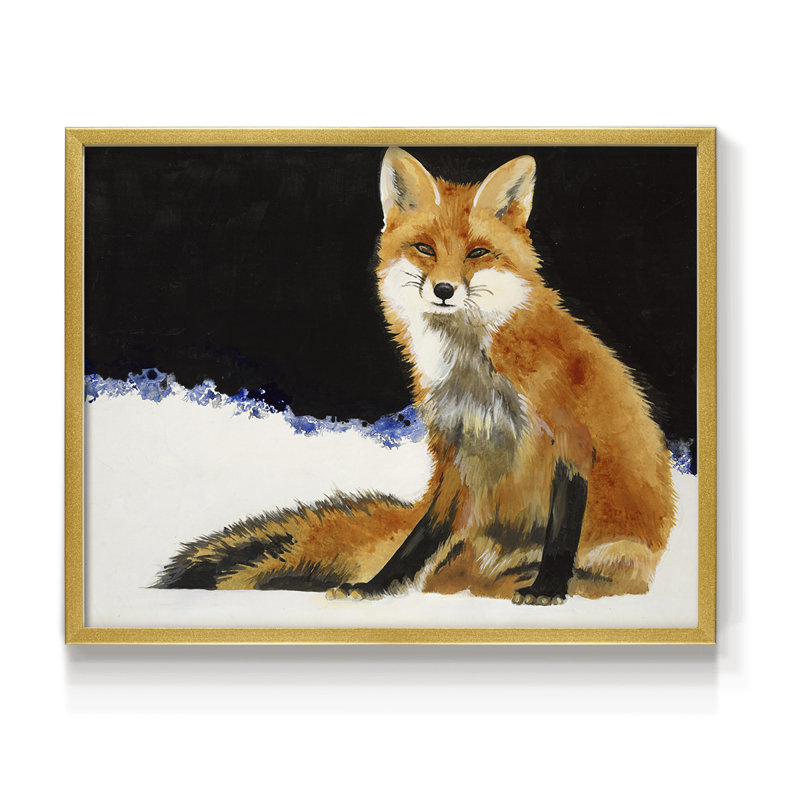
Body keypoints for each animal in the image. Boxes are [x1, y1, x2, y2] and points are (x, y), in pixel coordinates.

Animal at [155, 148, 677, 605]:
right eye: (425, 248)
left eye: (477, 253)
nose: (444, 290)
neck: (476, 375)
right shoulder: (455, 453)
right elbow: (420, 539)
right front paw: (376, 587)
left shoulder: (570, 440)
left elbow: (561, 534)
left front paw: (548, 588)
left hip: (620, 557)